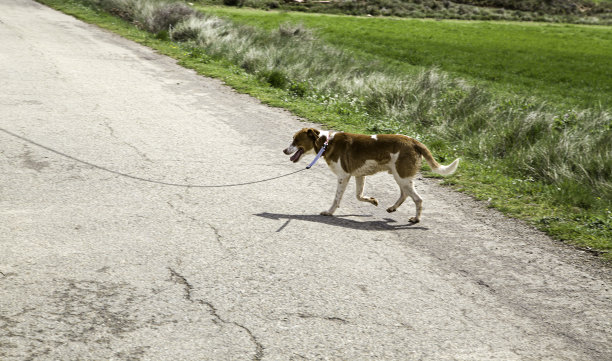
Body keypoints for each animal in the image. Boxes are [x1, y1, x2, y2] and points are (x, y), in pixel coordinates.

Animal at [284, 126, 460, 222]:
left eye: (296, 140)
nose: (285, 150)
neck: (326, 143)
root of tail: (414, 141)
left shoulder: (343, 176)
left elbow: (336, 199)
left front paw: (329, 212)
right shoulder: (358, 175)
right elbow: (359, 196)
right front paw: (373, 201)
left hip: (402, 176)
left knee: (418, 199)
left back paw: (416, 219)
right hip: (400, 176)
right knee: (404, 194)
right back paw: (393, 208)